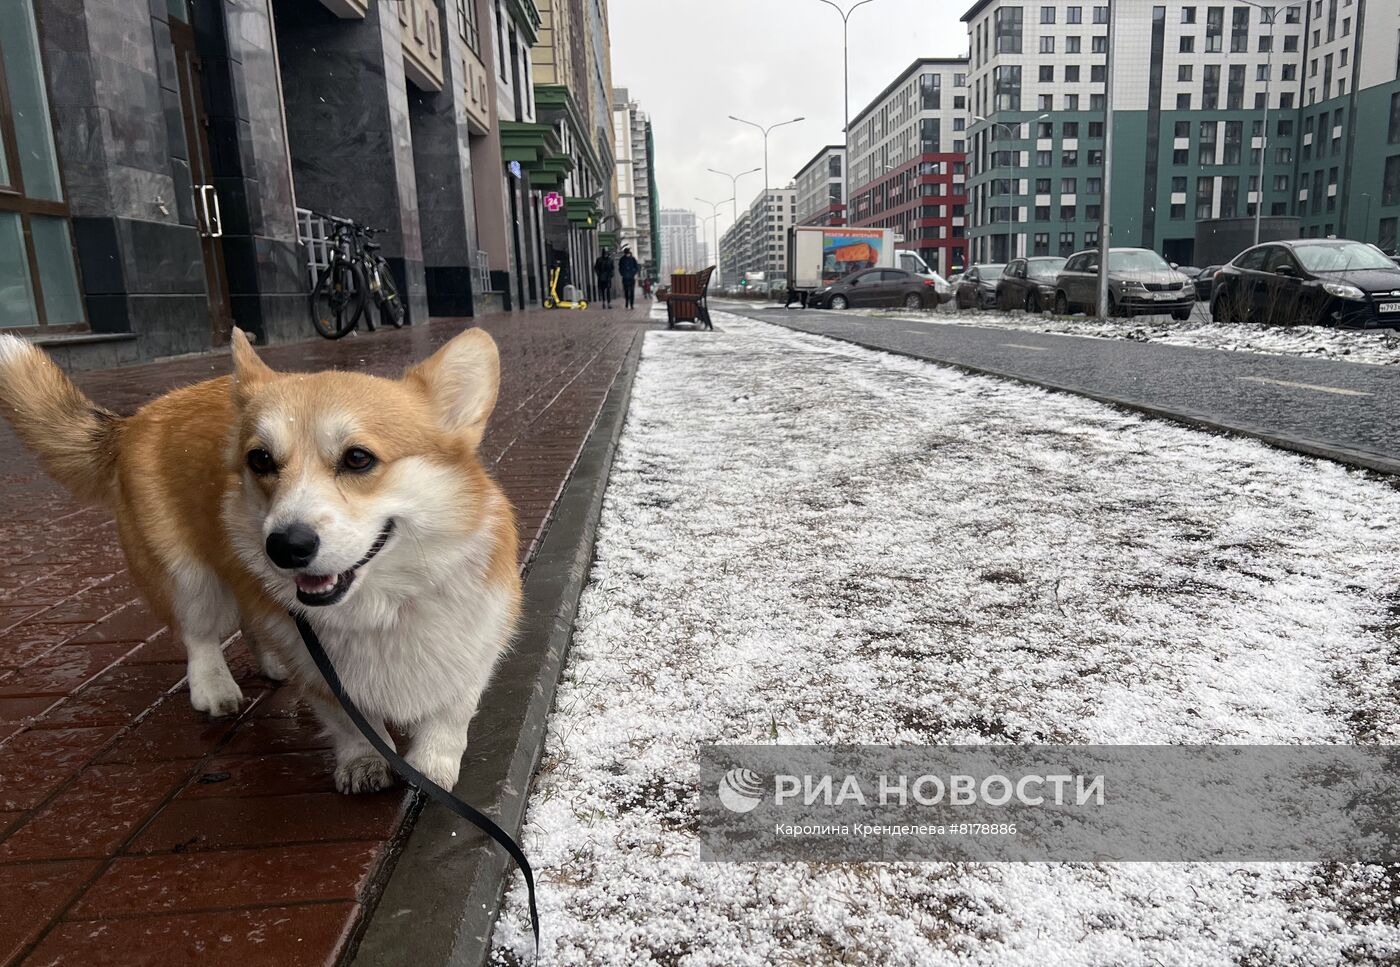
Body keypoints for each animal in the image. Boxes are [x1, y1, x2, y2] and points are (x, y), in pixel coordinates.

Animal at [0, 328, 520, 800]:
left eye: (358, 458)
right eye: (261, 460)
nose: (285, 547)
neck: (384, 603)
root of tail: (135, 420)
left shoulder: (477, 641)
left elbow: (452, 713)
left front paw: (433, 766)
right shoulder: (322, 673)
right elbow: (350, 722)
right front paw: (365, 761)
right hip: (188, 577)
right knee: (200, 635)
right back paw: (214, 688)